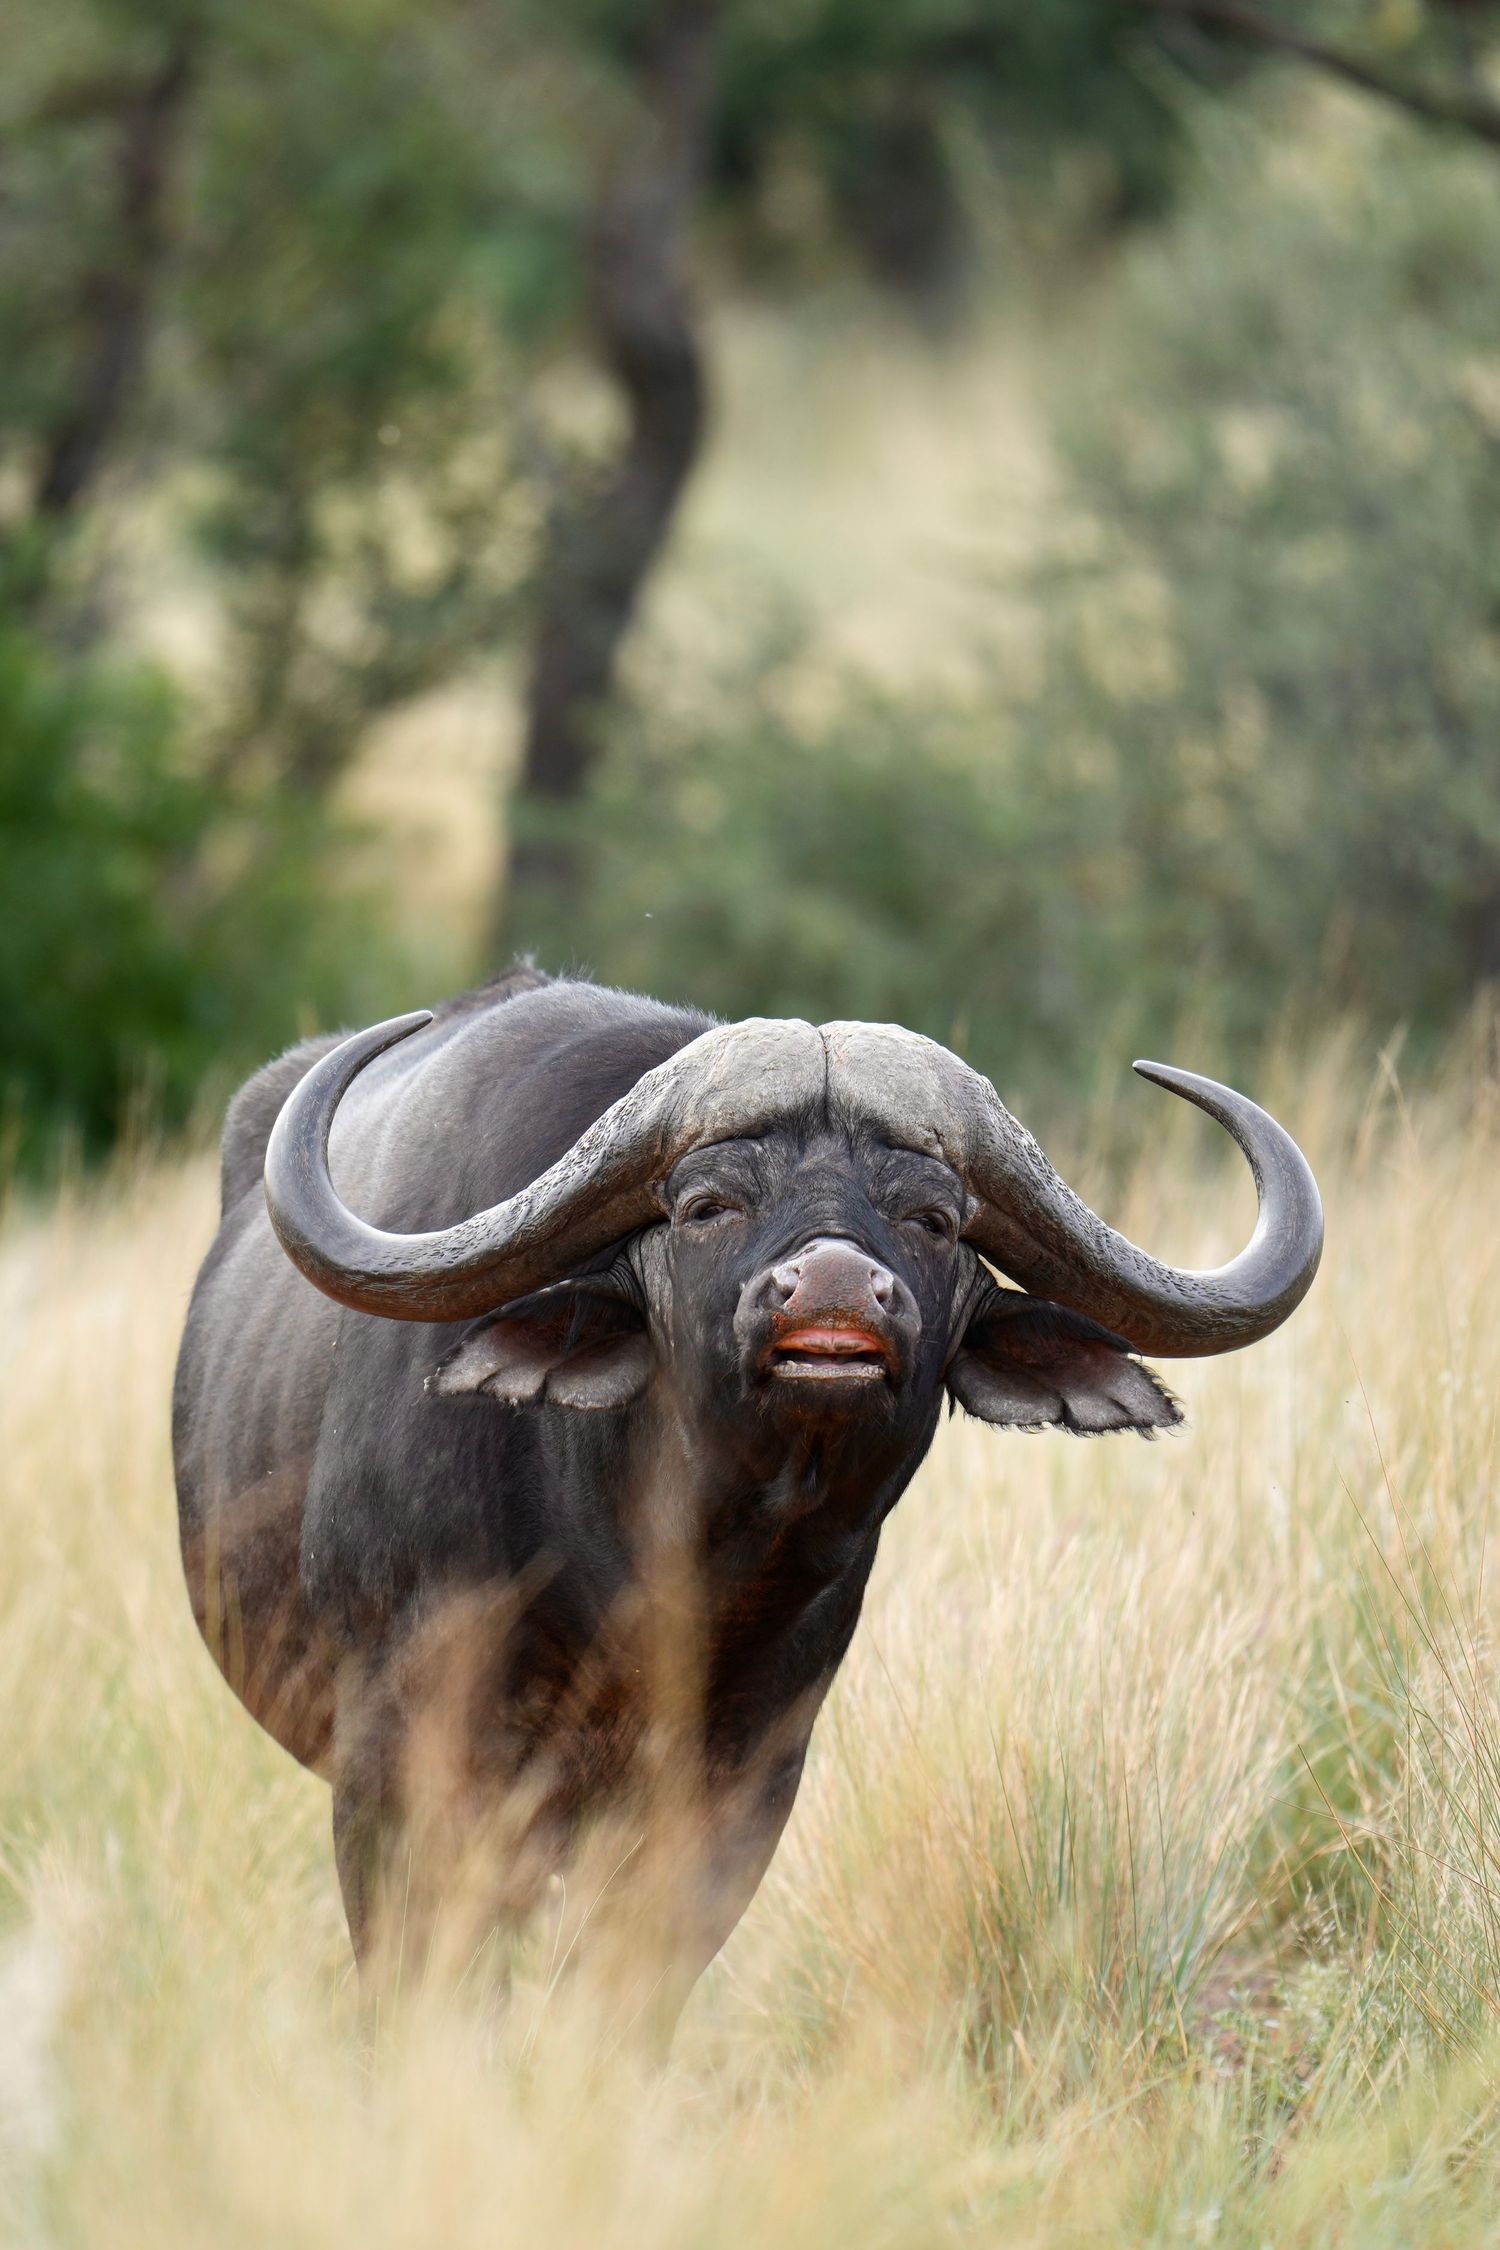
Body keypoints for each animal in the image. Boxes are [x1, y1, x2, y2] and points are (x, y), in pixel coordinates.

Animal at [173, 965, 1321, 2012]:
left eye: (933, 1218)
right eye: (707, 1205)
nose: (833, 1291)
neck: (650, 1574)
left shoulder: (740, 1798)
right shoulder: (395, 1776)